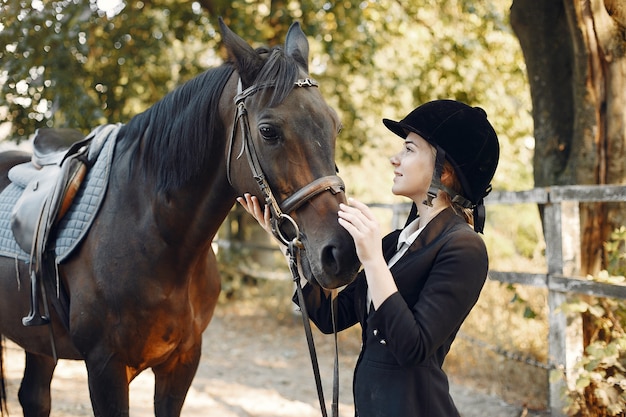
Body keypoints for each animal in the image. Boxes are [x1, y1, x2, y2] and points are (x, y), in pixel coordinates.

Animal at [0, 19, 356, 416]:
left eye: (335, 126)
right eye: (268, 131)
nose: (342, 252)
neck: (157, 239)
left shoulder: (183, 362)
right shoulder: (105, 368)